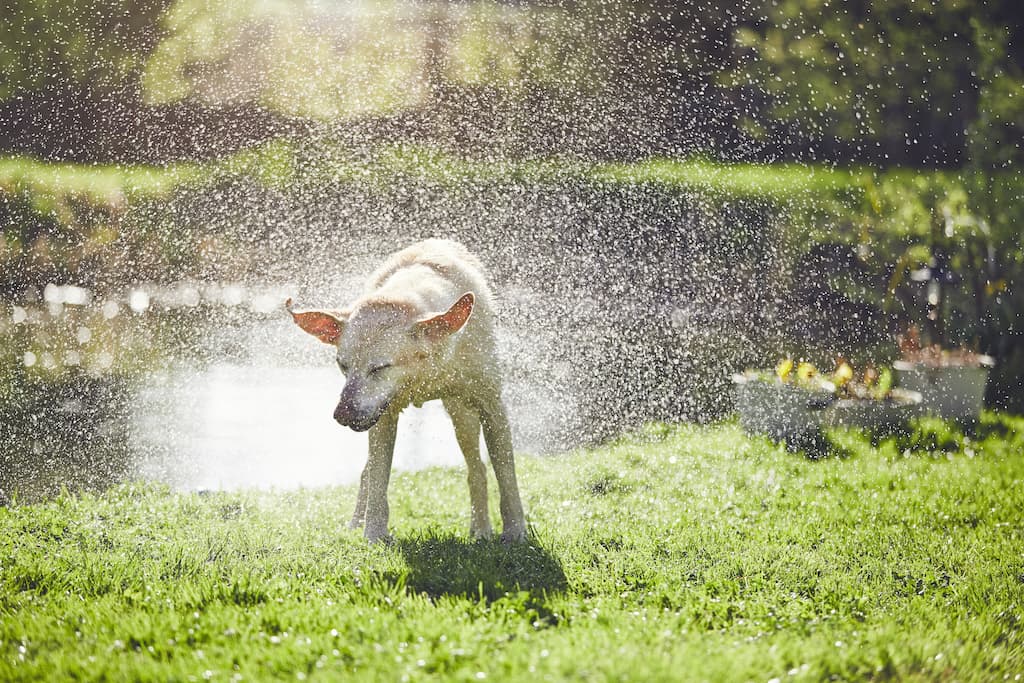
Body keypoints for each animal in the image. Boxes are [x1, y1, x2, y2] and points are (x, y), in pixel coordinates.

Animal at [288, 240, 528, 544]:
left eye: (380, 367)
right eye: (342, 365)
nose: (342, 414)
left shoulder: (492, 405)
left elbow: (507, 475)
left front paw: (515, 532)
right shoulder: (382, 414)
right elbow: (378, 479)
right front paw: (374, 534)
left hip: (462, 415)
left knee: (477, 469)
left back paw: (481, 529)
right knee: (367, 473)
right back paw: (356, 523)